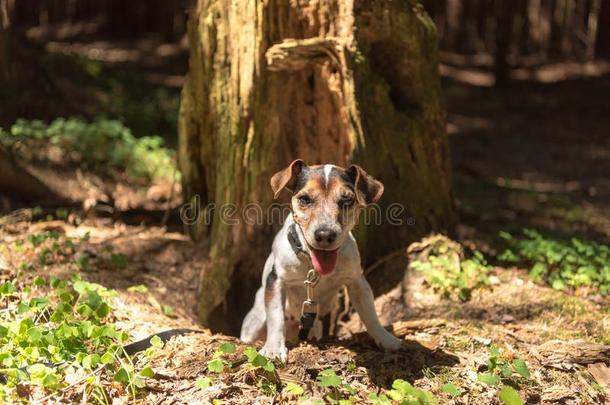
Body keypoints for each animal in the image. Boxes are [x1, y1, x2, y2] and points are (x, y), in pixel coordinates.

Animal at [239, 159, 404, 358]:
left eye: (347, 199)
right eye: (304, 199)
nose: (325, 234)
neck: (312, 265)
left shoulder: (357, 282)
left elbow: (370, 315)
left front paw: (386, 340)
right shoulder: (276, 280)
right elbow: (276, 316)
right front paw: (273, 349)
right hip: (256, 321)